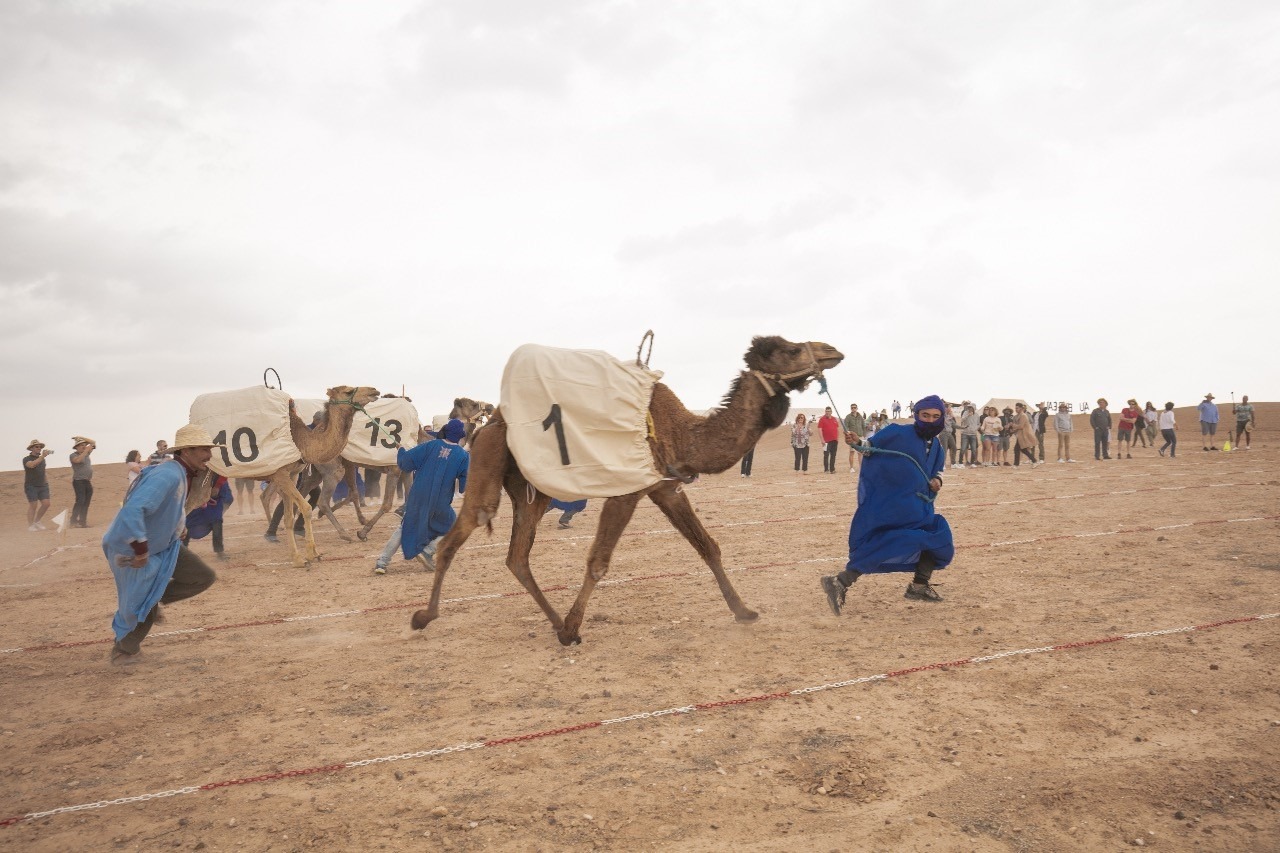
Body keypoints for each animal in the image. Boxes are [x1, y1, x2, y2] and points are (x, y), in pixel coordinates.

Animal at [414, 335, 844, 640]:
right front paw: (573, 626)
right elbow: (598, 562)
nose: (832, 351)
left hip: (534, 490)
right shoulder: (627, 491)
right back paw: (425, 616)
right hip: (489, 464)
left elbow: (708, 547)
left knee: (517, 557)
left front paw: (744, 611)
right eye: (792, 349)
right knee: (464, 530)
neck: (683, 433)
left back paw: (553, 621)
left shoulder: (666, 487)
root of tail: (490, 422)